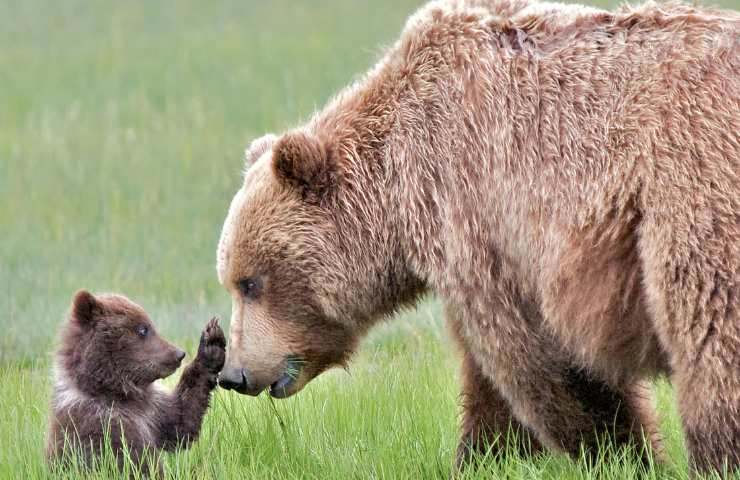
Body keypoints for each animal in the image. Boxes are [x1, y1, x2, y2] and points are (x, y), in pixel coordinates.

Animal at [217, 0, 736, 472]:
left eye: (251, 282)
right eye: (233, 280)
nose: (233, 373)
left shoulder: (478, 208)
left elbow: (537, 354)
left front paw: (622, 454)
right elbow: (491, 387)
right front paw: (485, 456)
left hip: (690, 193)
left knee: (710, 338)